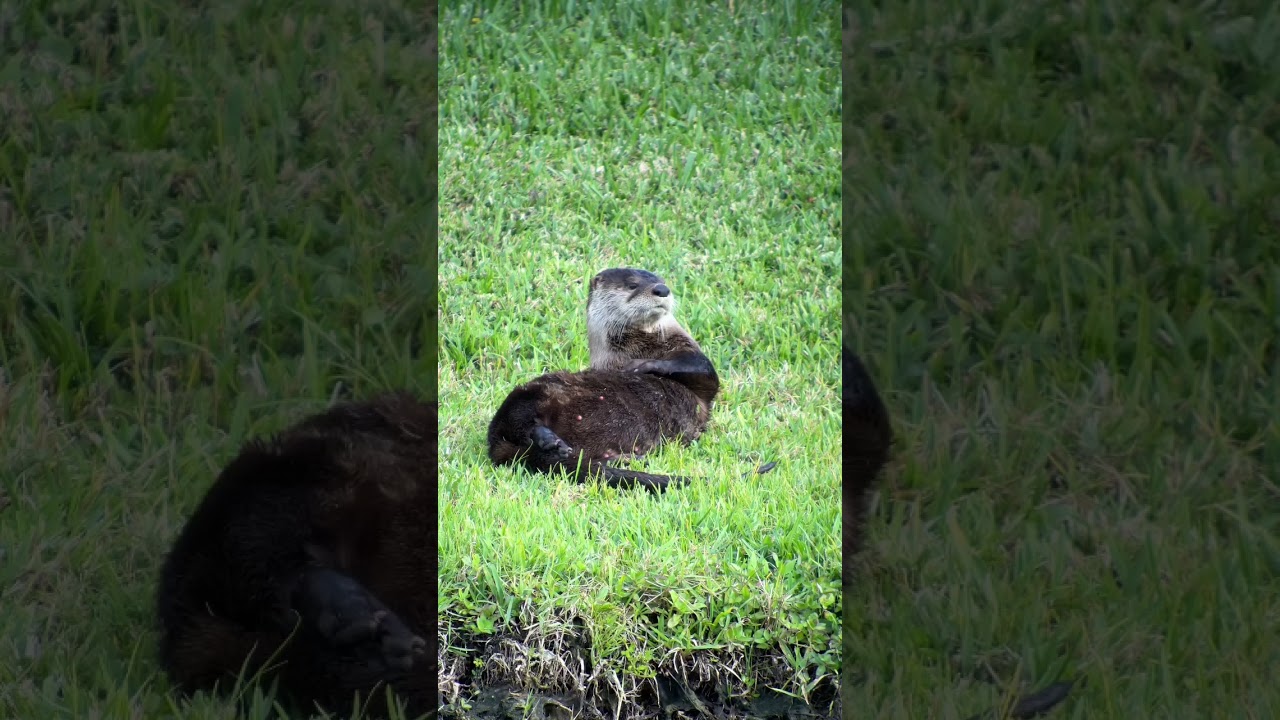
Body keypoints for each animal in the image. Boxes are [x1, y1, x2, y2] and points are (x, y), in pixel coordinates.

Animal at [487, 268, 721, 492]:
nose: (662, 289)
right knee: (519, 420)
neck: (638, 346)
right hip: (530, 393)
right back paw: (550, 440)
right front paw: (637, 366)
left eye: (662, 280)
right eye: (632, 284)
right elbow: (705, 372)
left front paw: (640, 365)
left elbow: (703, 370)